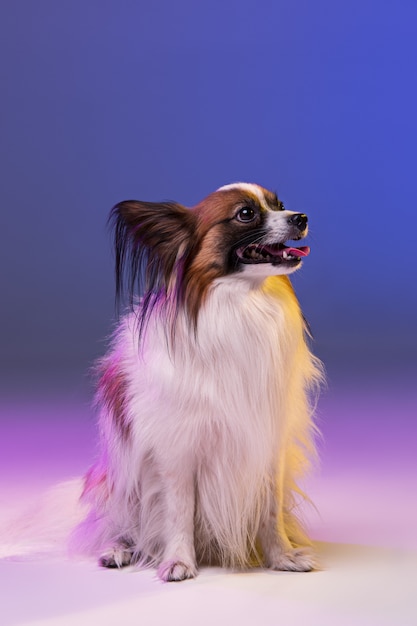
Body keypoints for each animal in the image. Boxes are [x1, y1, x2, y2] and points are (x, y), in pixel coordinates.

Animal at [70, 182, 322, 580]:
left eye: (280, 204)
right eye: (246, 214)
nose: (301, 217)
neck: (240, 302)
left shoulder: (267, 442)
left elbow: (270, 509)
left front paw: (282, 556)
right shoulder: (177, 449)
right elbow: (179, 511)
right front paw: (178, 560)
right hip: (123, 483)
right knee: (119, 523)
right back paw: (118, 548)